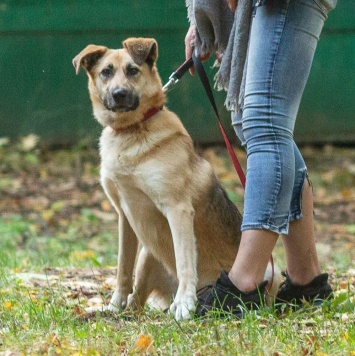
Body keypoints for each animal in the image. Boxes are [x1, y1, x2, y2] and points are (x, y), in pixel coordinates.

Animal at [73, 36, 280, 320]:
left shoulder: (178, 210)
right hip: (147, 255)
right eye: (106, 72)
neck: (132, 131)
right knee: (137, 300)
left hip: (268, 271)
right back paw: (117, 313)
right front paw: (115, 304)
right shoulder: (125, 216)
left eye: (133, 70)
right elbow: (122, 268)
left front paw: (184, 303)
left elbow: (184, 263)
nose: (119, 94)